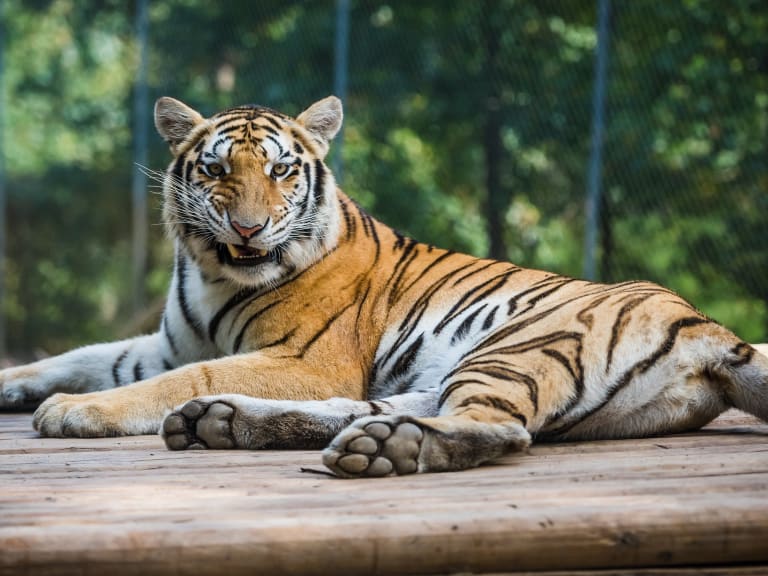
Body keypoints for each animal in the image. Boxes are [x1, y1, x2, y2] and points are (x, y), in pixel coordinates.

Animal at [0, 95, 766, 478]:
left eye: (280, 171)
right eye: (216, 171)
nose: (249, 227)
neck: (214, 270)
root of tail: (711, 328)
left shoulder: (307, 359)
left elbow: (178, 377)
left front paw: (72, 411)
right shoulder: (165, 343)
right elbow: (80, 356)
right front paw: (22, 384)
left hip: (518, 346)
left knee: (502, 428)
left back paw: (385, 451)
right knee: (372, 409)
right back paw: (221, 423)